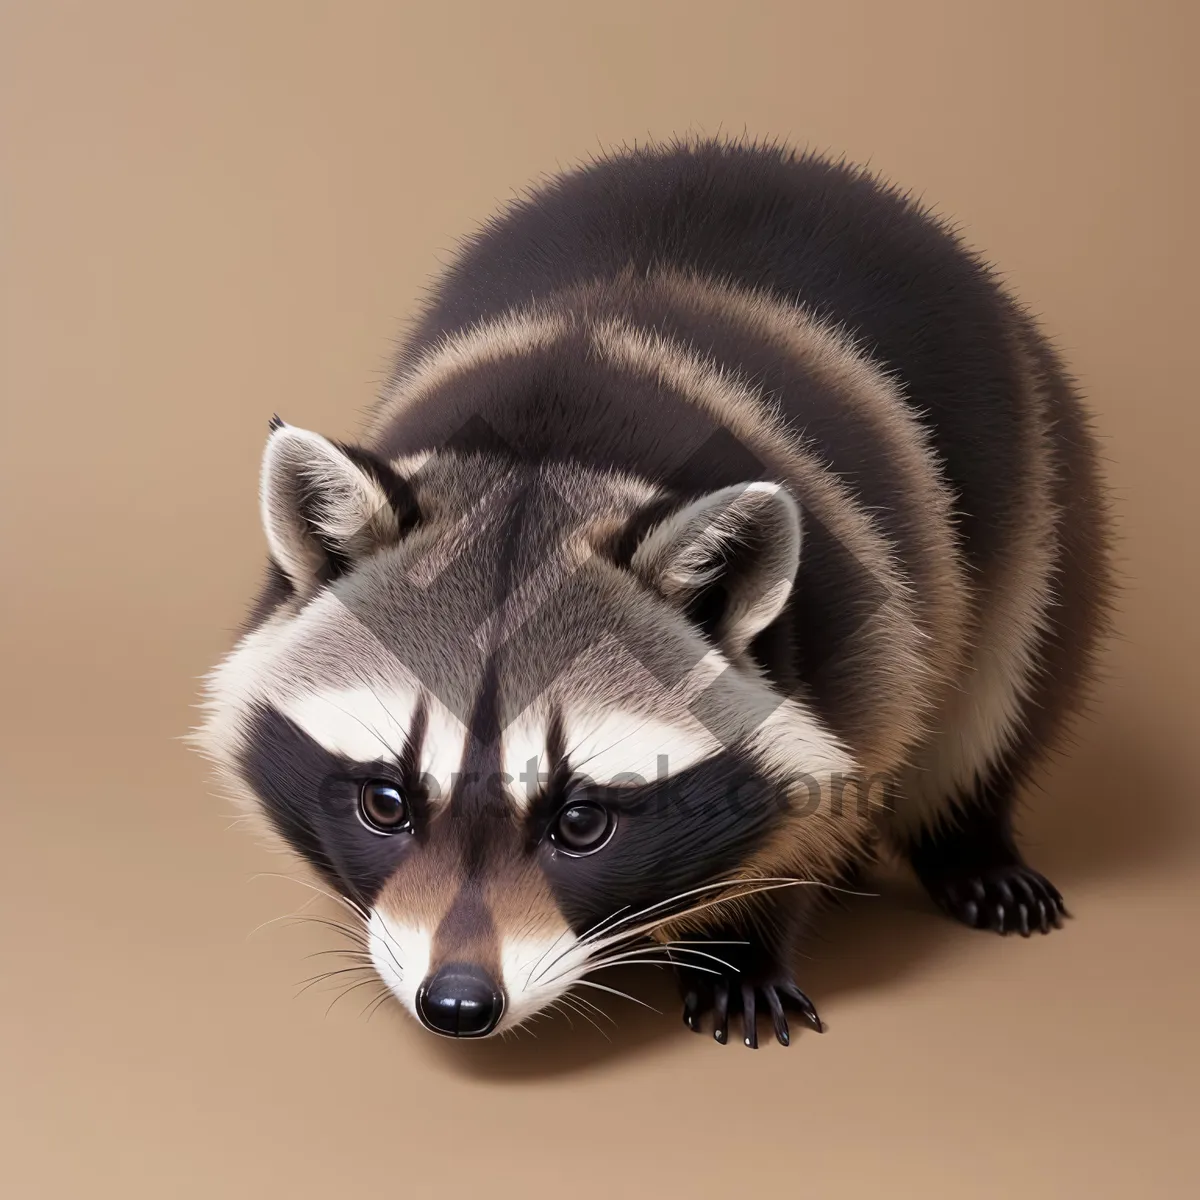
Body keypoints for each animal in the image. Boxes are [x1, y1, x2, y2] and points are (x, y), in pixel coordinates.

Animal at [192, 136, 1108, 1046]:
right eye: (386, 804)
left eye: (580, 823)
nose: (457, 1003)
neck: (548, 440)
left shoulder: (874, 633)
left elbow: (836, 778)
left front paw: (747, 941)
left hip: (1042, 478)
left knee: (1007, 681)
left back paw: (974, 837)